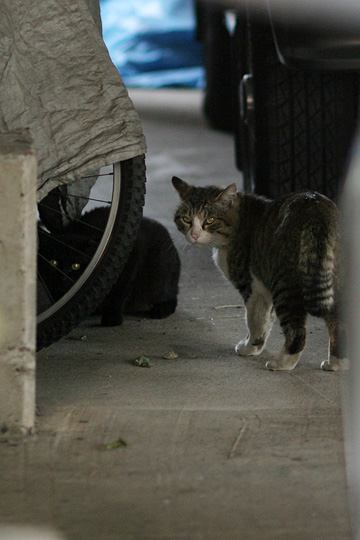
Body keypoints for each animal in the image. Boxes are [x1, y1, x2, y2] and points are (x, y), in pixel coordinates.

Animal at [37, 207, 180, 324]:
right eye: (53, 262)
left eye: (76, 265)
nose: (62, 277)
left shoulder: (131, 255)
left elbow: (120, 290)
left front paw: (112, 318)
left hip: (161, 272)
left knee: (170, 296)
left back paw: (161, 309)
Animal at [173, 177, 348, 372]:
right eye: (186, 219)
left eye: (210, 220)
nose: (194, 235)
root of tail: (317, 210)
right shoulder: (265, 285)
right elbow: (266, 320)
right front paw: (257, 347)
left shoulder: (252, 286)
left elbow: (254, 320)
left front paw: (250, 347)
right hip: (333, 282)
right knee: (337, 320)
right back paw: (336, 363)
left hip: (285, 285)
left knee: (296, 329)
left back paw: (282, 362)